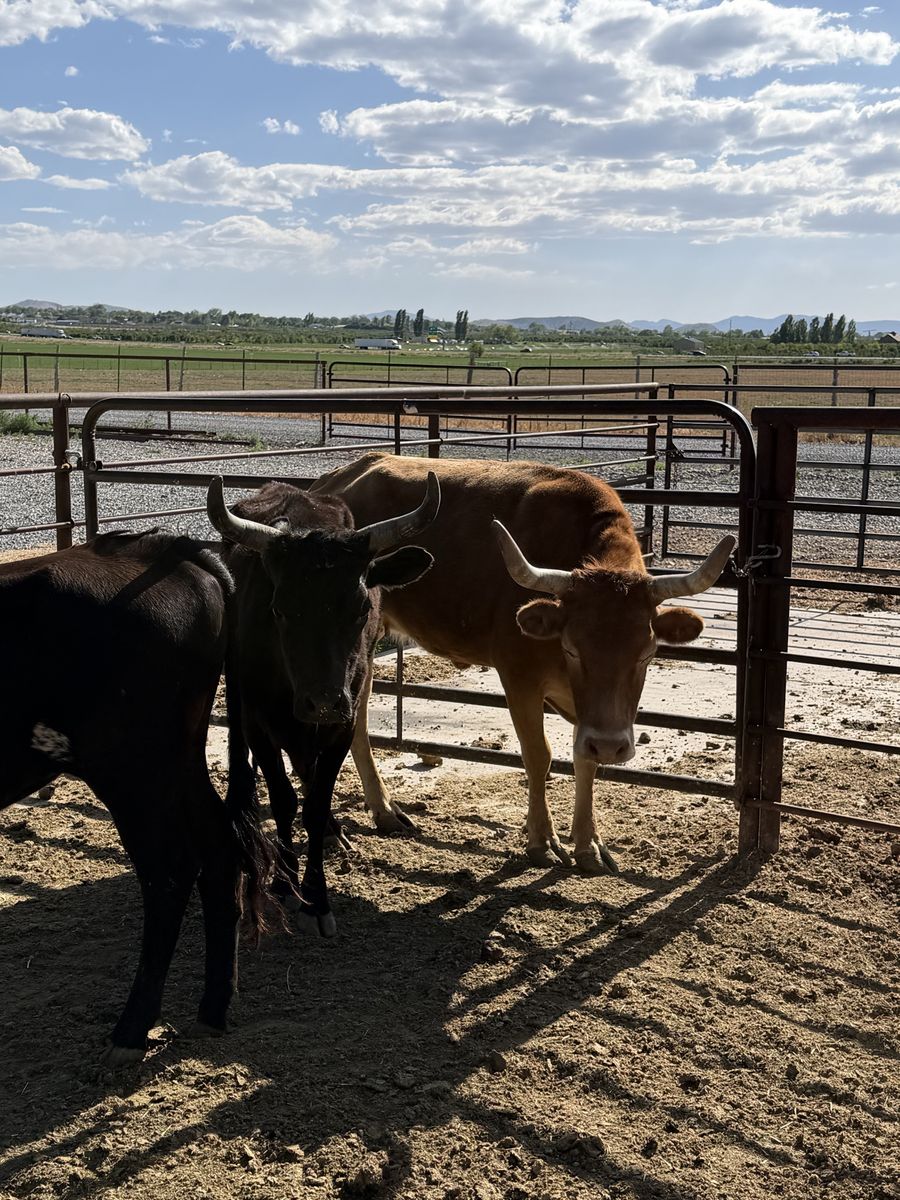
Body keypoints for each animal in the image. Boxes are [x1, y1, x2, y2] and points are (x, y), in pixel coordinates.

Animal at [0, 530, 272, 1063]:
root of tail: (165, 548)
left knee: (169, 871)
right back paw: (213, 1009)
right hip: (177, 760)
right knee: (219, 847)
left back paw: (131, 1030)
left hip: (130, 769)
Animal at [205, 471, 439, 936]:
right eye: (279, 608)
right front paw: (283, 884)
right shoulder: (260, 724)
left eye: (363, 608)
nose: (324, 702)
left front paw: (316, 898)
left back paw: (333, 832)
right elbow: (283, 799)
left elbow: (315, 804)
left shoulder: (341, 728)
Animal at [310, 453, 734, 875]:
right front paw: (542, 841)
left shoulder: (589, 711)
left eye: (646, 654)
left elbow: (584, 759)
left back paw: (383, 811)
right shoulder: (519, 677)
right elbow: (538, 755)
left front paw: (589, 844)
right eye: (572, 649)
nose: (612, 746)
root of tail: (335, 478)